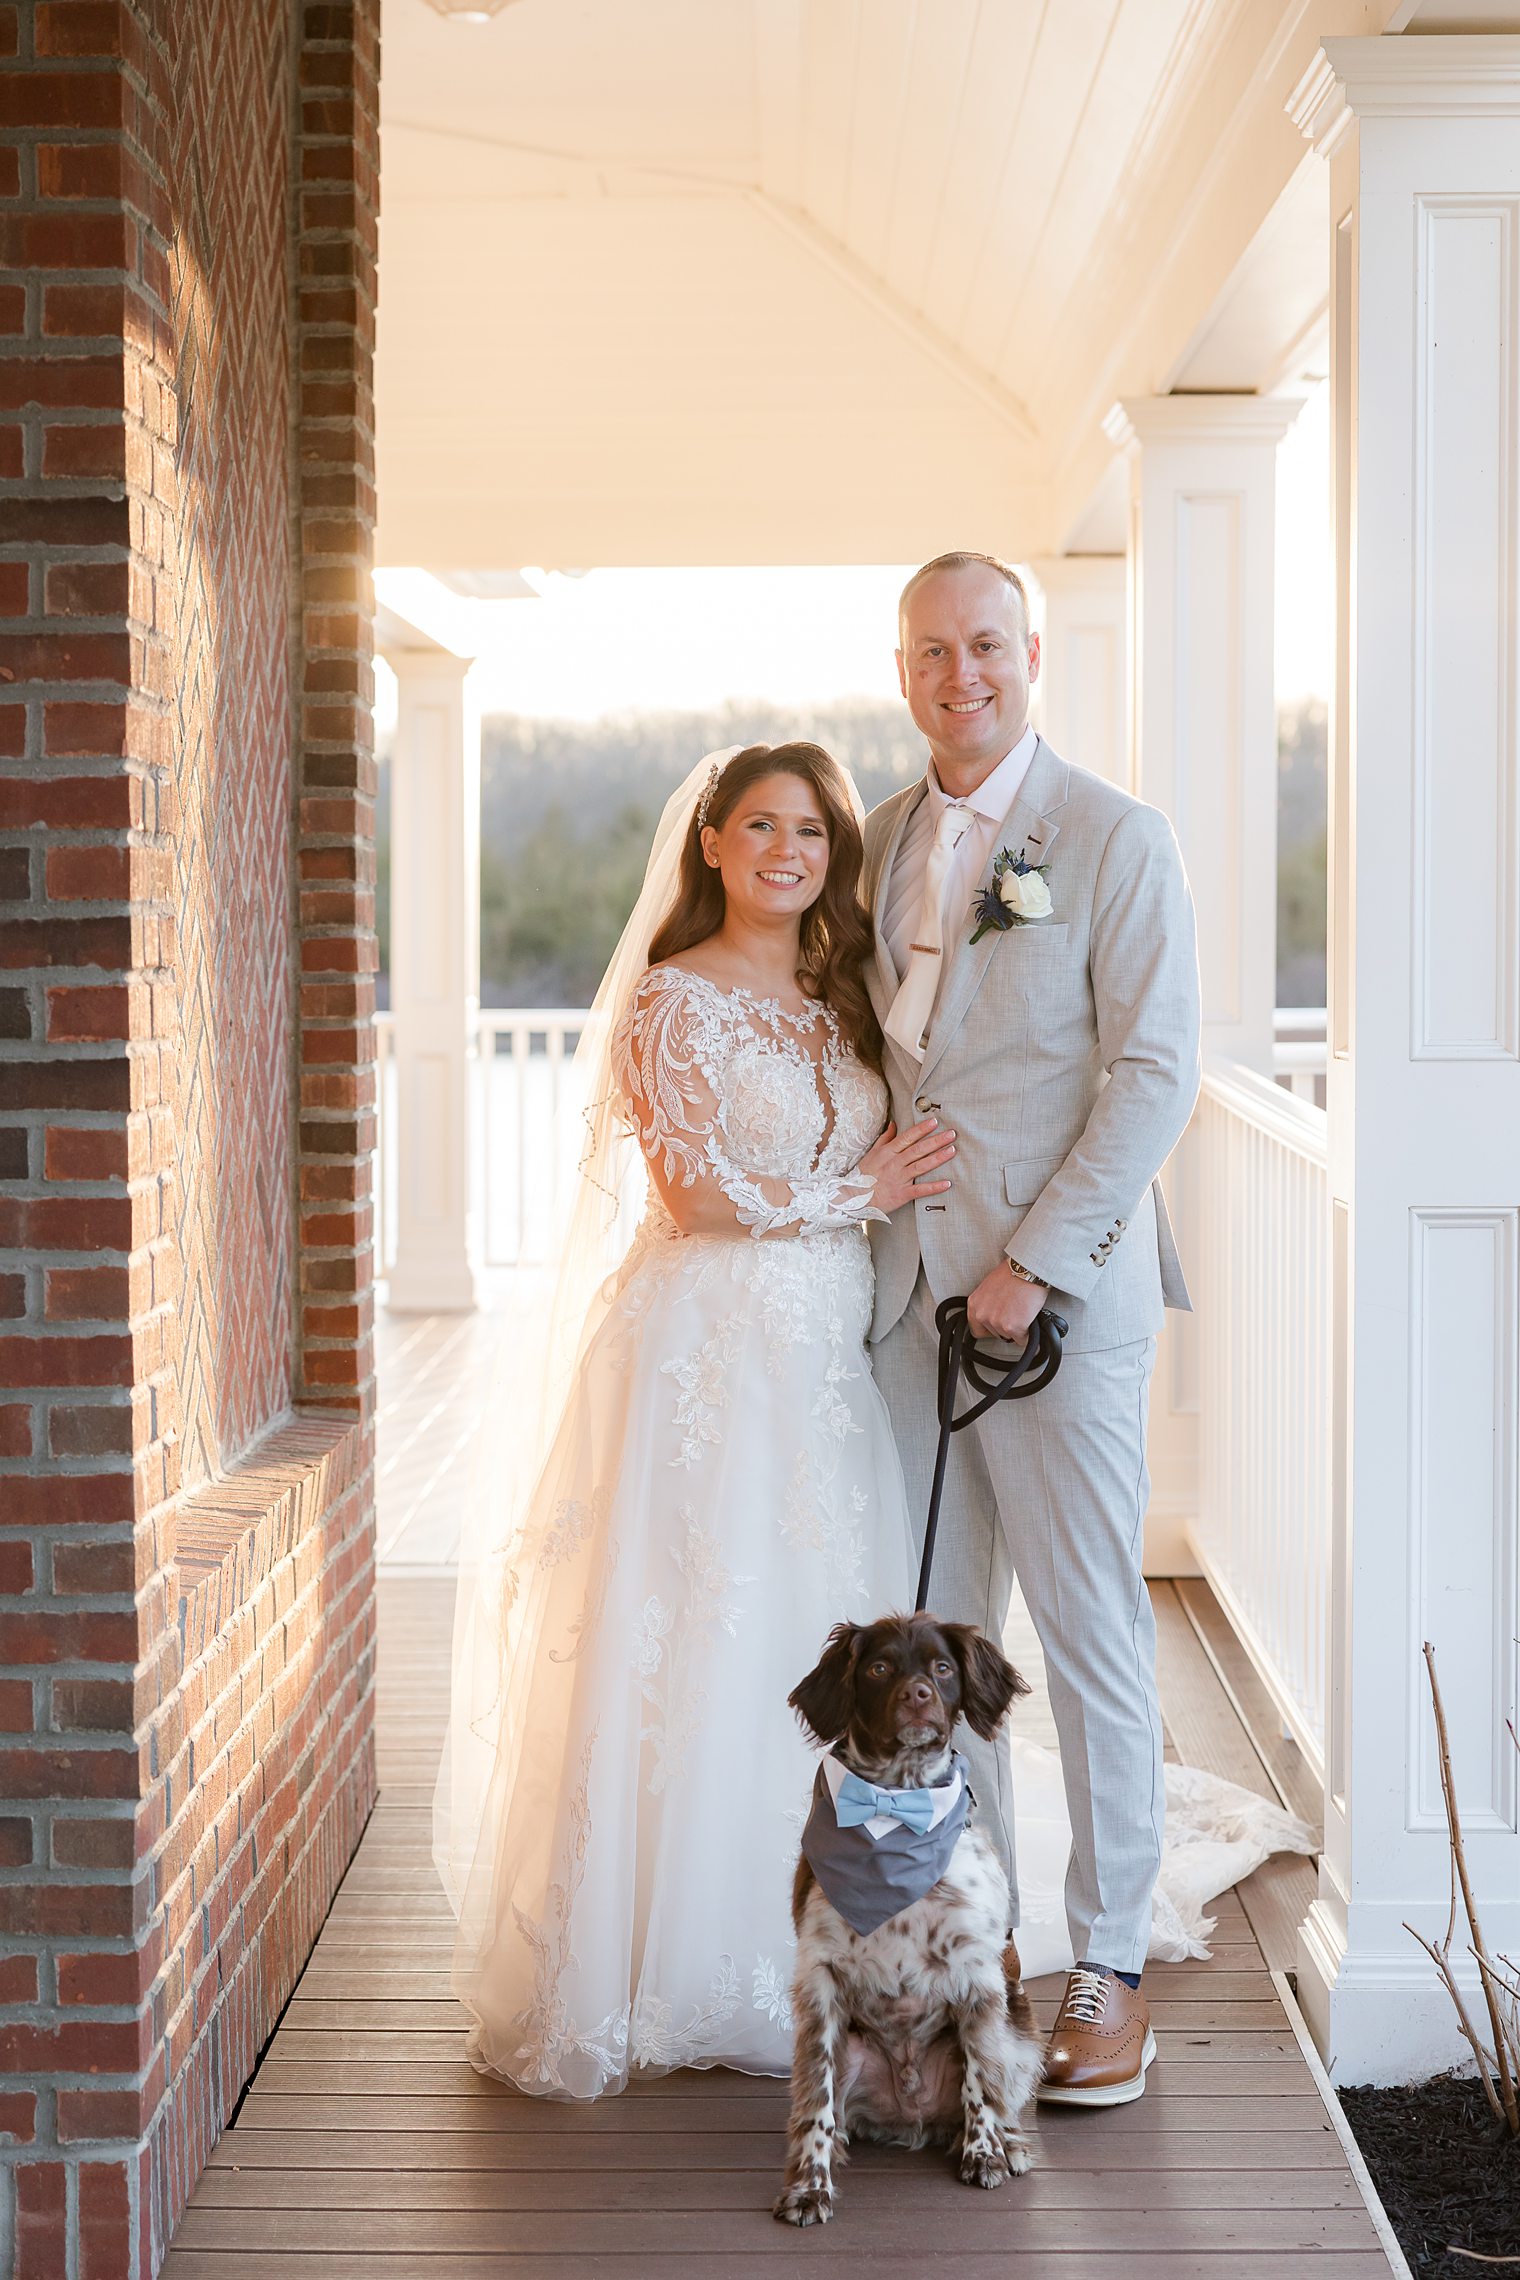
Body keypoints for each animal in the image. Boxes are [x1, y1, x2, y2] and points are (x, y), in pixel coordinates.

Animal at [774, 1605, 1048, 2225]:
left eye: (942, 1668)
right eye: (878, 1668)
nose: (918, 1694)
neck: (897, 1813)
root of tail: (911, 2113)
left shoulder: (979, 1977)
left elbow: (980, 2081)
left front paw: (984, 2156)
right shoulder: (819, 1979)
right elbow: (816, 2100)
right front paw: (809, 2188)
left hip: (1018, 2032)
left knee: (1003, 2088)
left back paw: (1010, 2144)